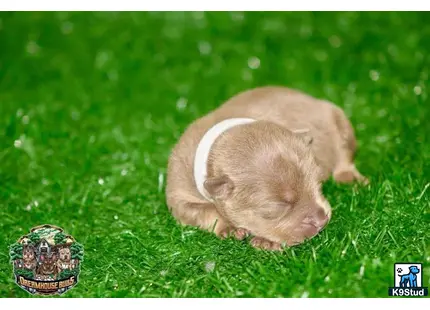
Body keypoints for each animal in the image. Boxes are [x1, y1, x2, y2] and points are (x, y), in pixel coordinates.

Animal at [165, 86, 366, 251]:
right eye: (276, 207)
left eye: (318, 184)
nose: (322, 220)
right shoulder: (179, 195)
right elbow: (204, 211)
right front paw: (230, 227)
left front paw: (267, 242)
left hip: (338, 121)